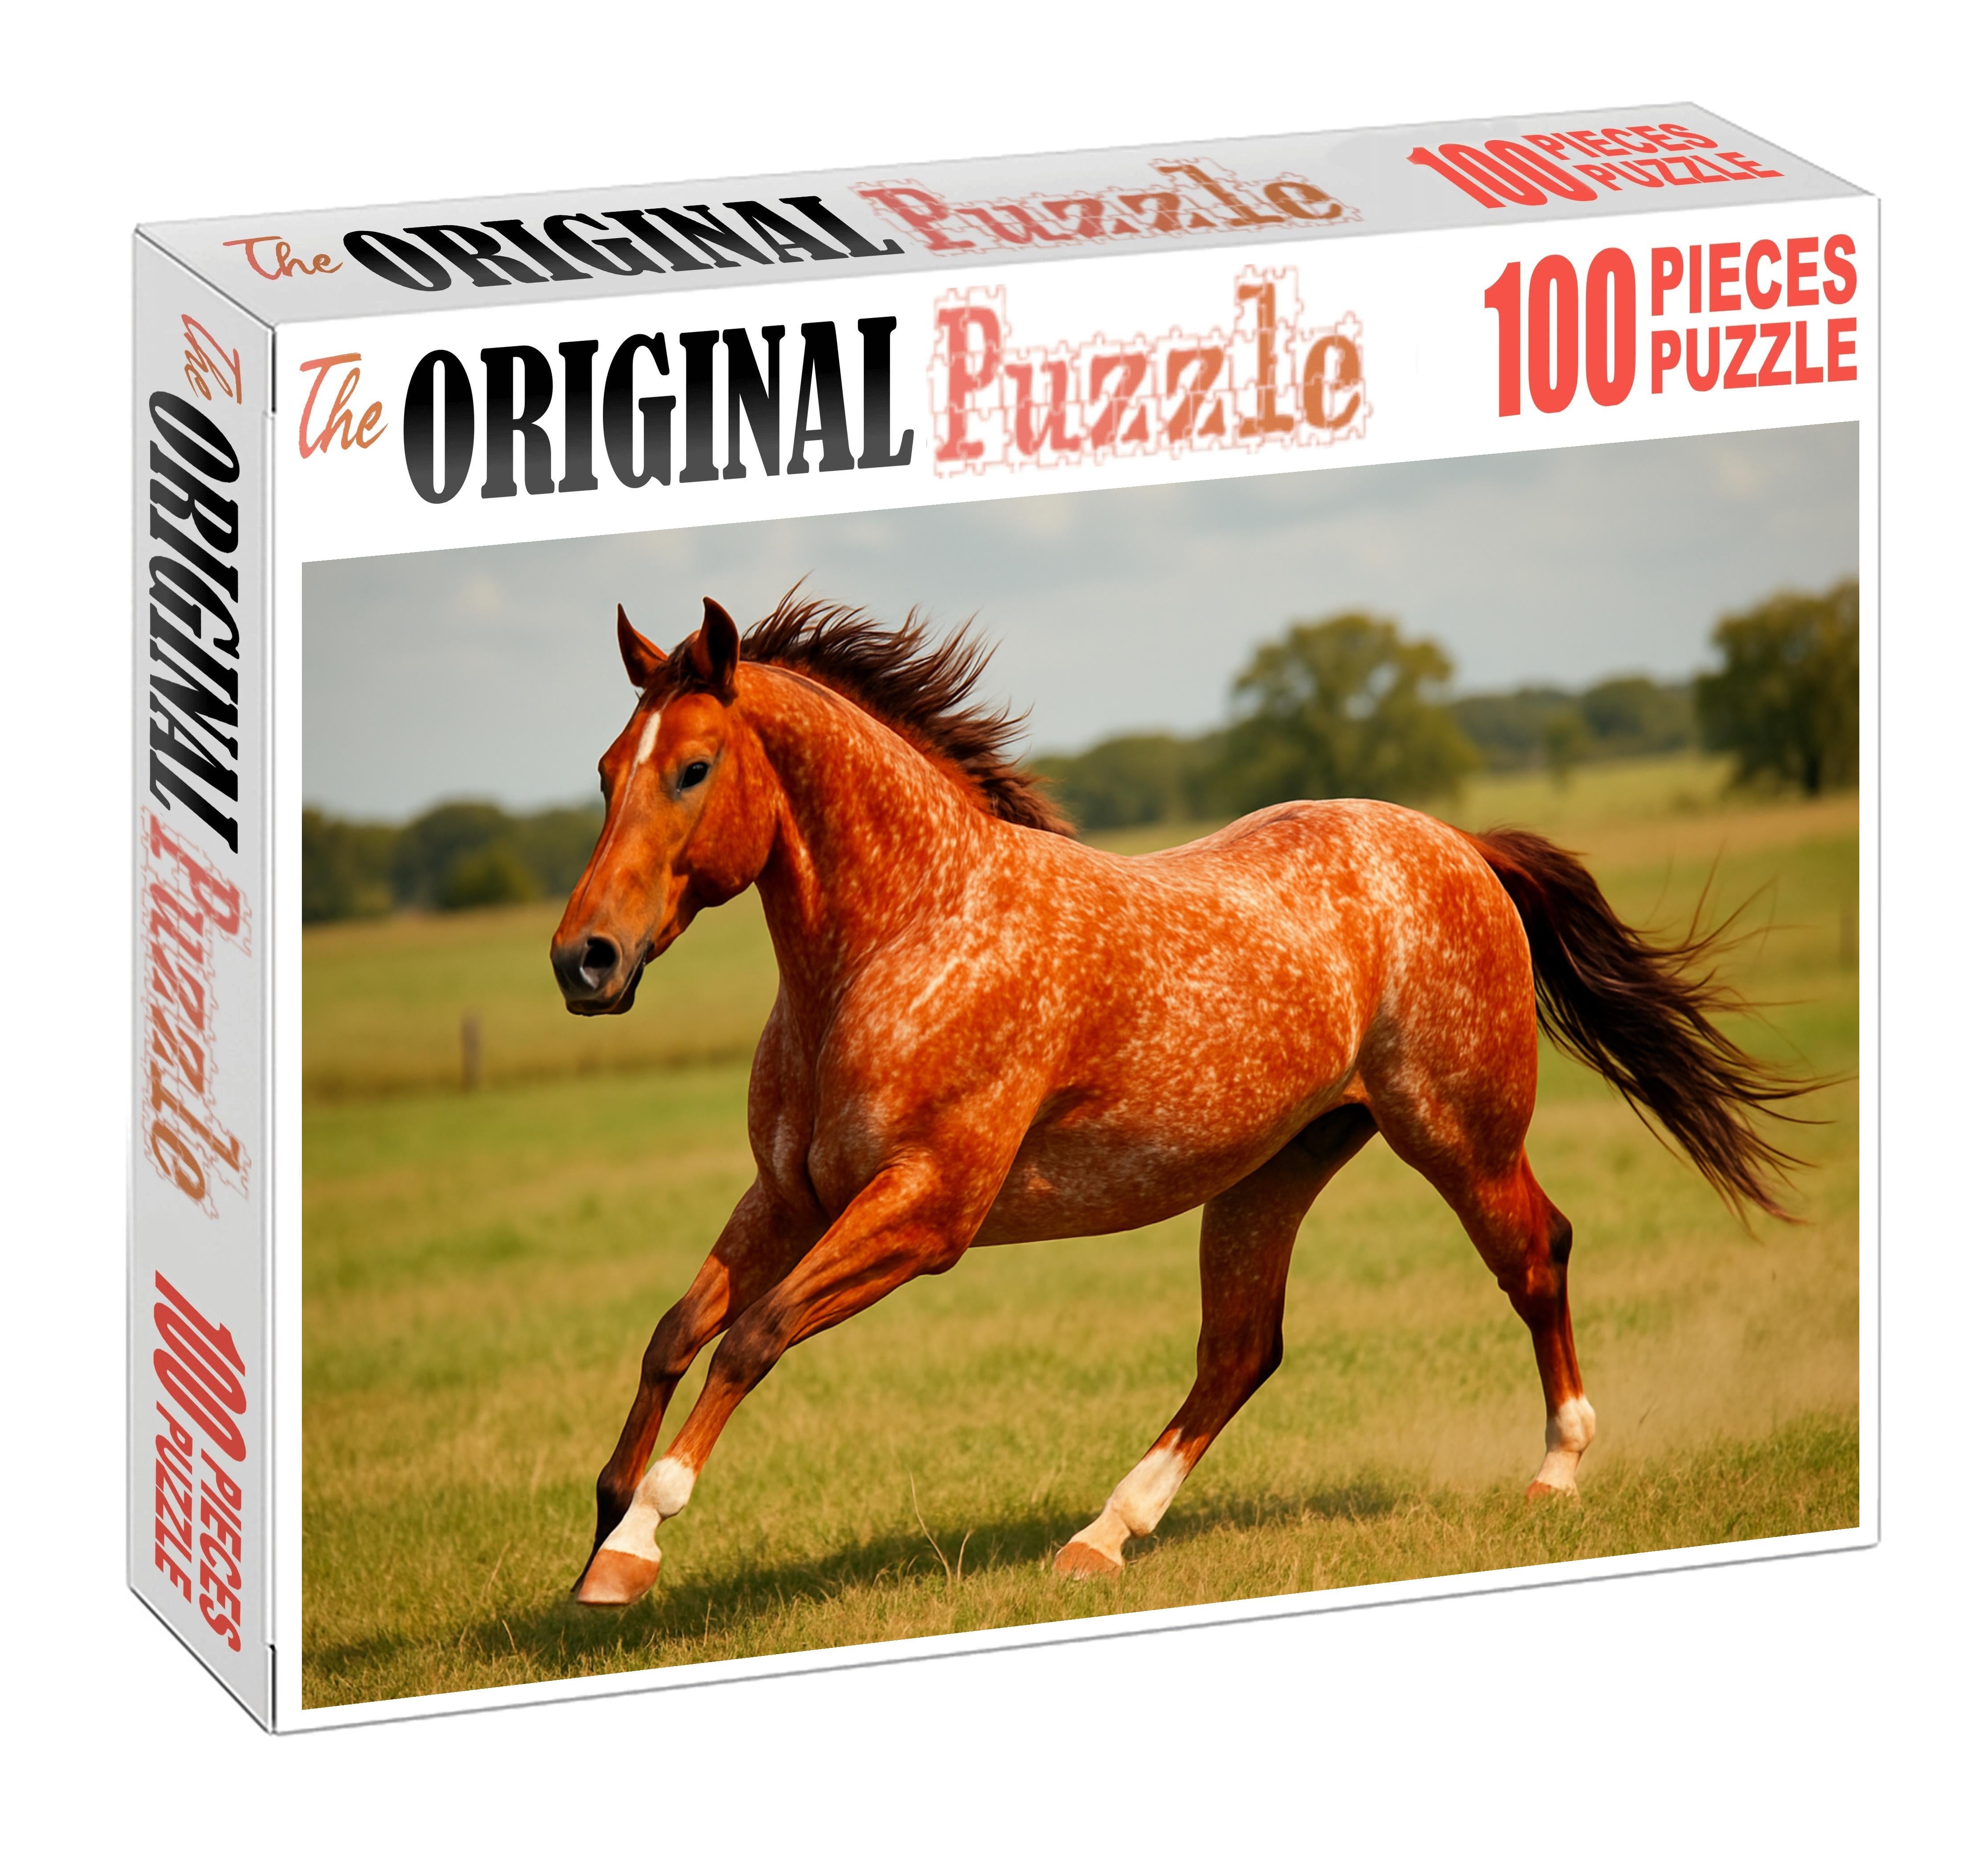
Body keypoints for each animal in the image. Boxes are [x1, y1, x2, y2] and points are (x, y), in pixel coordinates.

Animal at [550, 592, 1805, 1606]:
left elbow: (750, 1338)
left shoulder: (923, 1212)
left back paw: (1556, 1469)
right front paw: (600, 1528)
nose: (584, 962)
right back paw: (1099, 1539)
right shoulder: (789, 1197)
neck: (904, 941)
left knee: (1534, 1256)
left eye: (692, 769)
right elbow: (674, 1335)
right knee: (1240, 1350)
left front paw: (634, 1550)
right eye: (606, 771)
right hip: (1275, 1169)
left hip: (1459, 1136)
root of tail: (1457, 843)